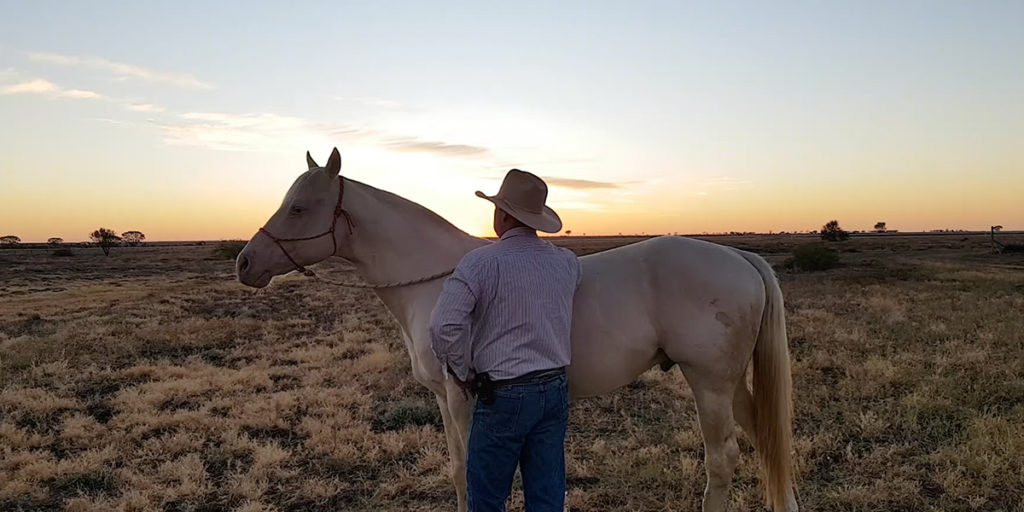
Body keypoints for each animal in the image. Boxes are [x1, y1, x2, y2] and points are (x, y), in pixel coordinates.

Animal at [235, 149, 794, 512]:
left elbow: (473, 473)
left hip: (709, 383)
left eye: (299, 207)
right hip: (729, 383)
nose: (245, 263)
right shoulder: (444, 398)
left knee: (722, 459)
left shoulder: (464, 397)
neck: (437, 279)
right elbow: (457, 470)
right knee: (765, 442)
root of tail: (738, 257)